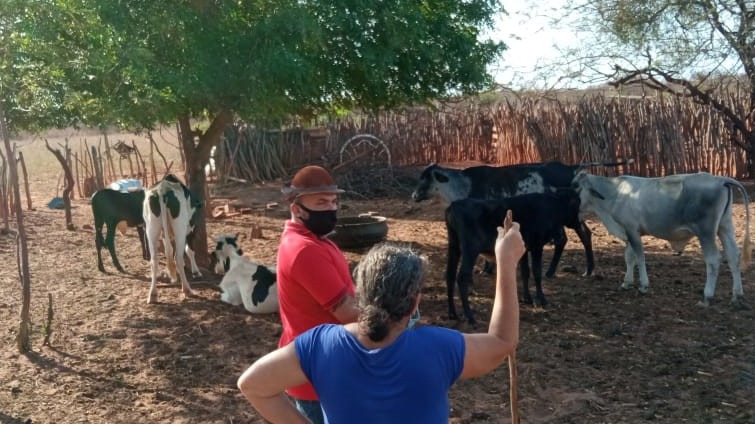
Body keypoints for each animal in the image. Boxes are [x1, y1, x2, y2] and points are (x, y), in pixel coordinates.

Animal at [143, 174, 204, 304]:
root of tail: (162, 190)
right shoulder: (190, 230)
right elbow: (190, 250)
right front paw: (196, 271)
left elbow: (170, 250)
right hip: (180, 228)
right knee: (178, 257)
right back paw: (187, 289)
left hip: (151, 229)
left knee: (154, 260)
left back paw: (153, 294)